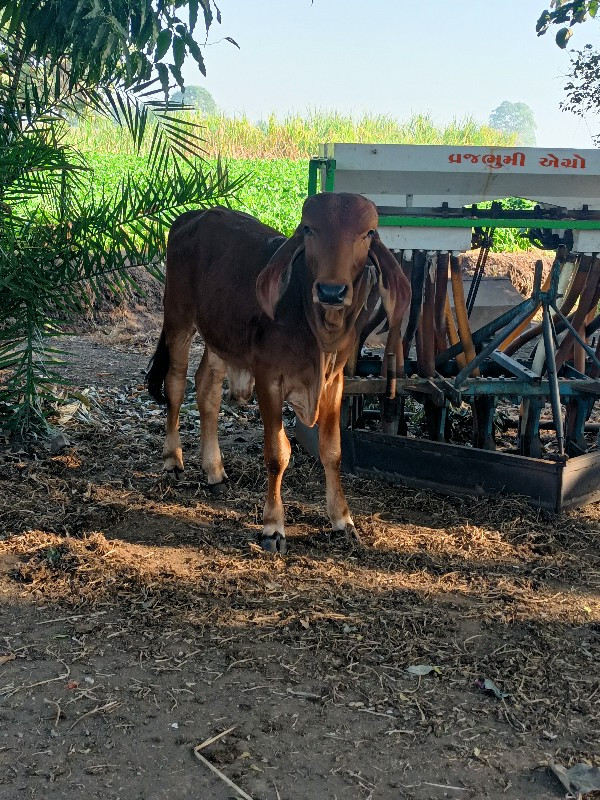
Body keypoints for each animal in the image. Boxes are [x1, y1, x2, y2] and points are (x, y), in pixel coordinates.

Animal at [147, 195, 410, 556]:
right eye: (308, 229)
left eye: (368, 233)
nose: (331, 291)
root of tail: (193, 215)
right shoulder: (268, 379)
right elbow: (277, 454)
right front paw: (273, 527)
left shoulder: (334, 383)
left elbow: (333, 452)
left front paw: (342, 521)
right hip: (178, 317)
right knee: (175, 384)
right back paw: (173, 459)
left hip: (220, 337)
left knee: (206, 389)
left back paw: (214, 471)